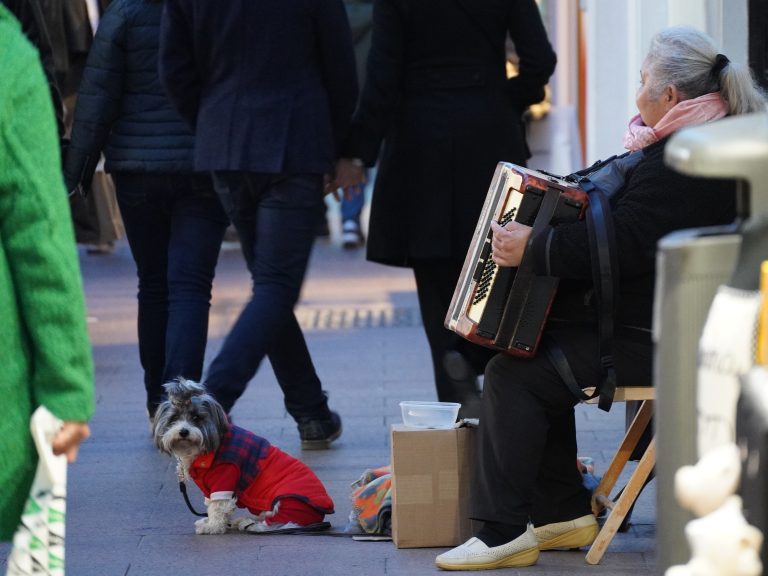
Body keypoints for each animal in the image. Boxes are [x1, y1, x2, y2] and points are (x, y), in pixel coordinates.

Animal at [154, 378, 334, 536]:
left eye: (197, 417)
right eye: (174, 418)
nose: (183, 431)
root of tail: (320, 516)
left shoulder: (224, 477)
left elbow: (217, 507)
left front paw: (212, 526)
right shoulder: (211, 488)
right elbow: (212, 505)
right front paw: (210, 522)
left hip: (285, 502)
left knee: (281, 523)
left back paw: (252, 525)